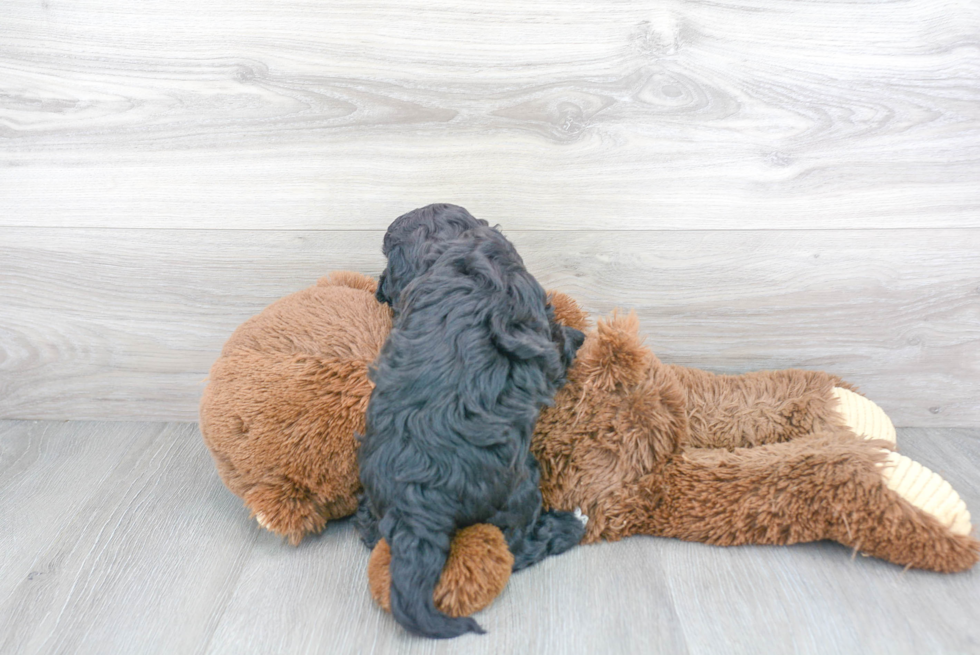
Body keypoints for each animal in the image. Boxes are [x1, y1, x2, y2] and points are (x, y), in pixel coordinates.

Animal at [360, 208, 588, 640]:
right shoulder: (539, 315)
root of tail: (416, 506)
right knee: (517, 548)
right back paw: (569, 526)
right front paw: (577, 336)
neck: (450, 246)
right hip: (518, 488)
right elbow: (558, 339)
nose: (379, 290)